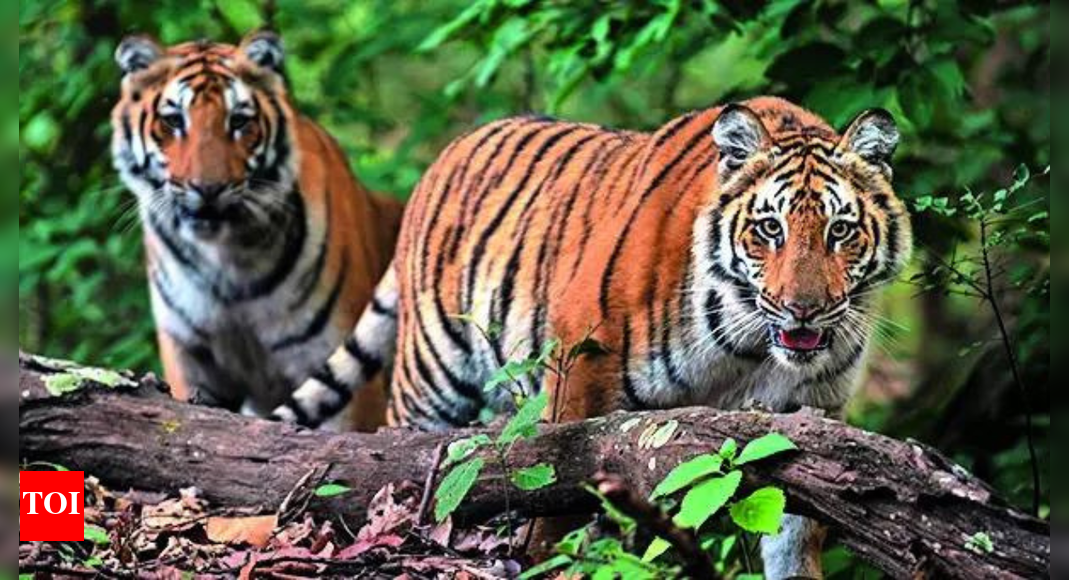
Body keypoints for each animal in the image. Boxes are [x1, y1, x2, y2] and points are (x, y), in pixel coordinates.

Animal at [110, 31, 403, 431]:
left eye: (238, 121)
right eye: (173, 120)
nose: (208, 188)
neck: (227, 259)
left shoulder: (343, 374)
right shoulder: (191, 361)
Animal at [274, 96, 912, 577]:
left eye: (840, 231)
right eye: (769, 229)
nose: (805, 311)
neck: (749, 348)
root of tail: (446, 154)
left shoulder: (809, 417)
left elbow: (795, 531)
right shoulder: (583, 360)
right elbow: (556, 498)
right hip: (431, 379)